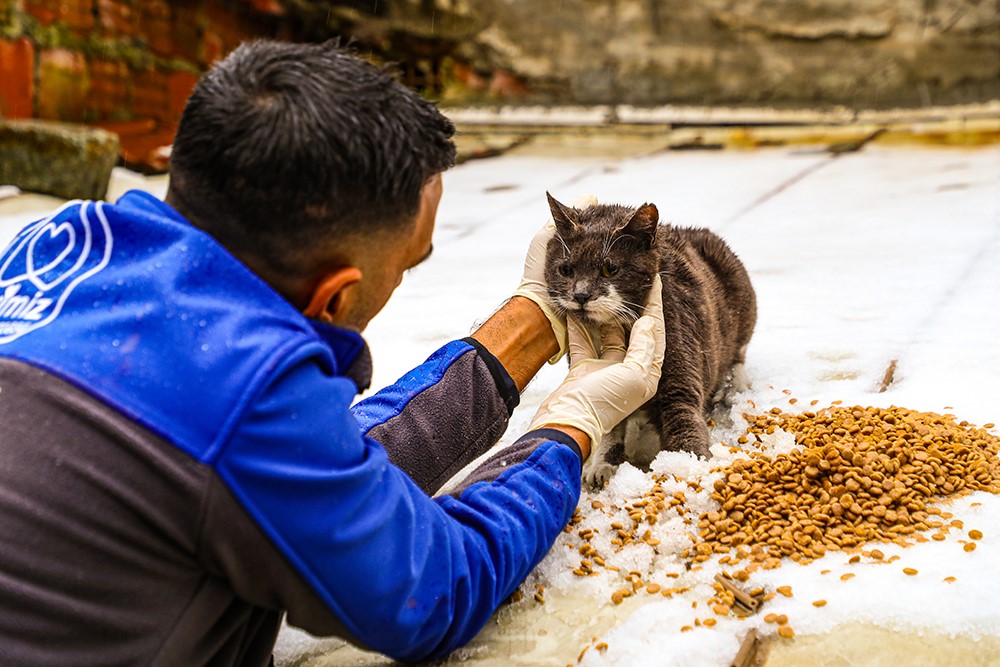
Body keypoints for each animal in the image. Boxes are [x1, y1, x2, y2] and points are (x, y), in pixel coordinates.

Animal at [548, 193, 752, 486]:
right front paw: (601, 466)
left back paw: (734, 384)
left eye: (610, 269)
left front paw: (689, 468)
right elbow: (609, 425)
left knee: (739, 353)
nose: (581, 295)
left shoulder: (679, 363)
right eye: (566, 269)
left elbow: (683, 418)